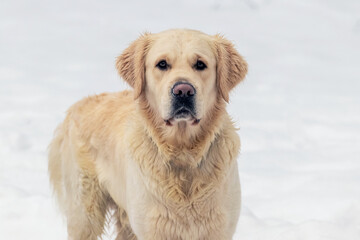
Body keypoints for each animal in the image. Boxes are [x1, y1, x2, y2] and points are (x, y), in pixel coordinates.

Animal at [48, 29, 248, 239]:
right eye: (162, 64)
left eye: (200, 64)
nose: (183, 91)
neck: (183, 153)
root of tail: (76, 106)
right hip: (85, 213)